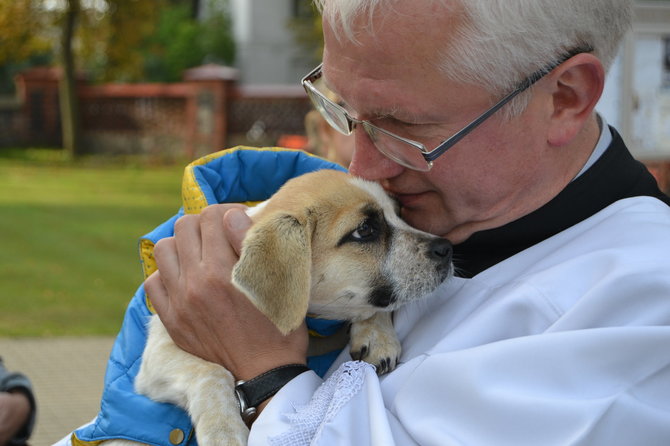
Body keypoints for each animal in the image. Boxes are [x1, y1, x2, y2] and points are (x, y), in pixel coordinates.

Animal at [105, 170, 454, 446]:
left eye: (400, 212)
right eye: (365, 230)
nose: (446, 248)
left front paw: (377, 336)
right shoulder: (158, 353)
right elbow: (211, 372)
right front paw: (224, 432)